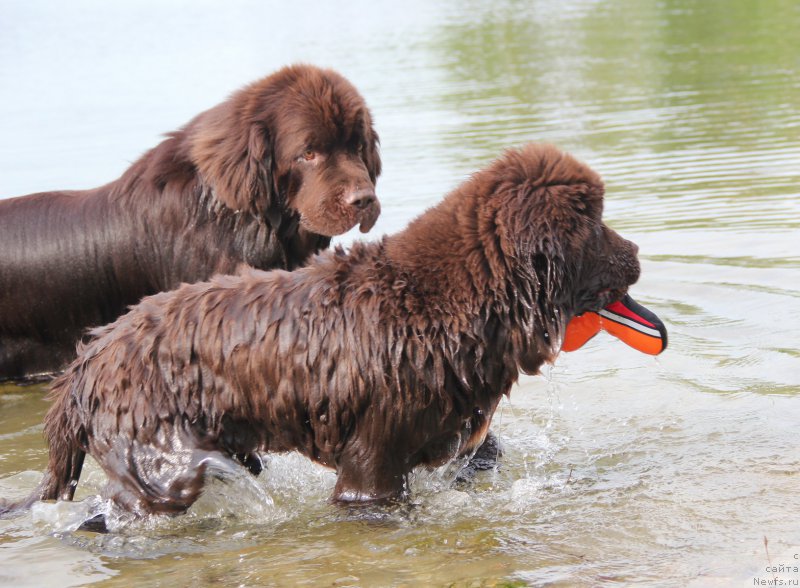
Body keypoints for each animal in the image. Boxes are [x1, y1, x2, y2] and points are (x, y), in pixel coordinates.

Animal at [0, 142, 636, 520]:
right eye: (594, 225)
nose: (635, 254)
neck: (446, 298)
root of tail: (86, 361)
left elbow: (482, 453)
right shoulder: (373, 457)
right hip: (159, 456)